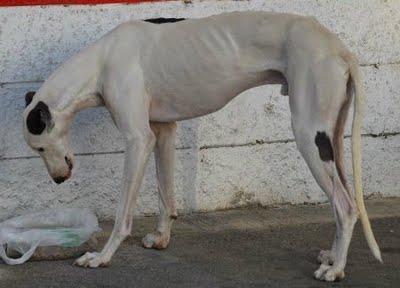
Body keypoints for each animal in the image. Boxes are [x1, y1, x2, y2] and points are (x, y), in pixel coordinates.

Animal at [21, 12, 382, 280]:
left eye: (39, 148)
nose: (58, 180)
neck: (101, 60)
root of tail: (341, 49)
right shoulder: (162, 132)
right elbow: (166, 197)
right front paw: (161, 238)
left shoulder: (138, 140)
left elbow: (124, 213)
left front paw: (101, 257)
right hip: (331, 139)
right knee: (345, 200)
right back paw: (333, 256)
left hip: (309, 135)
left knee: (346, 206)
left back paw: (336, 269)